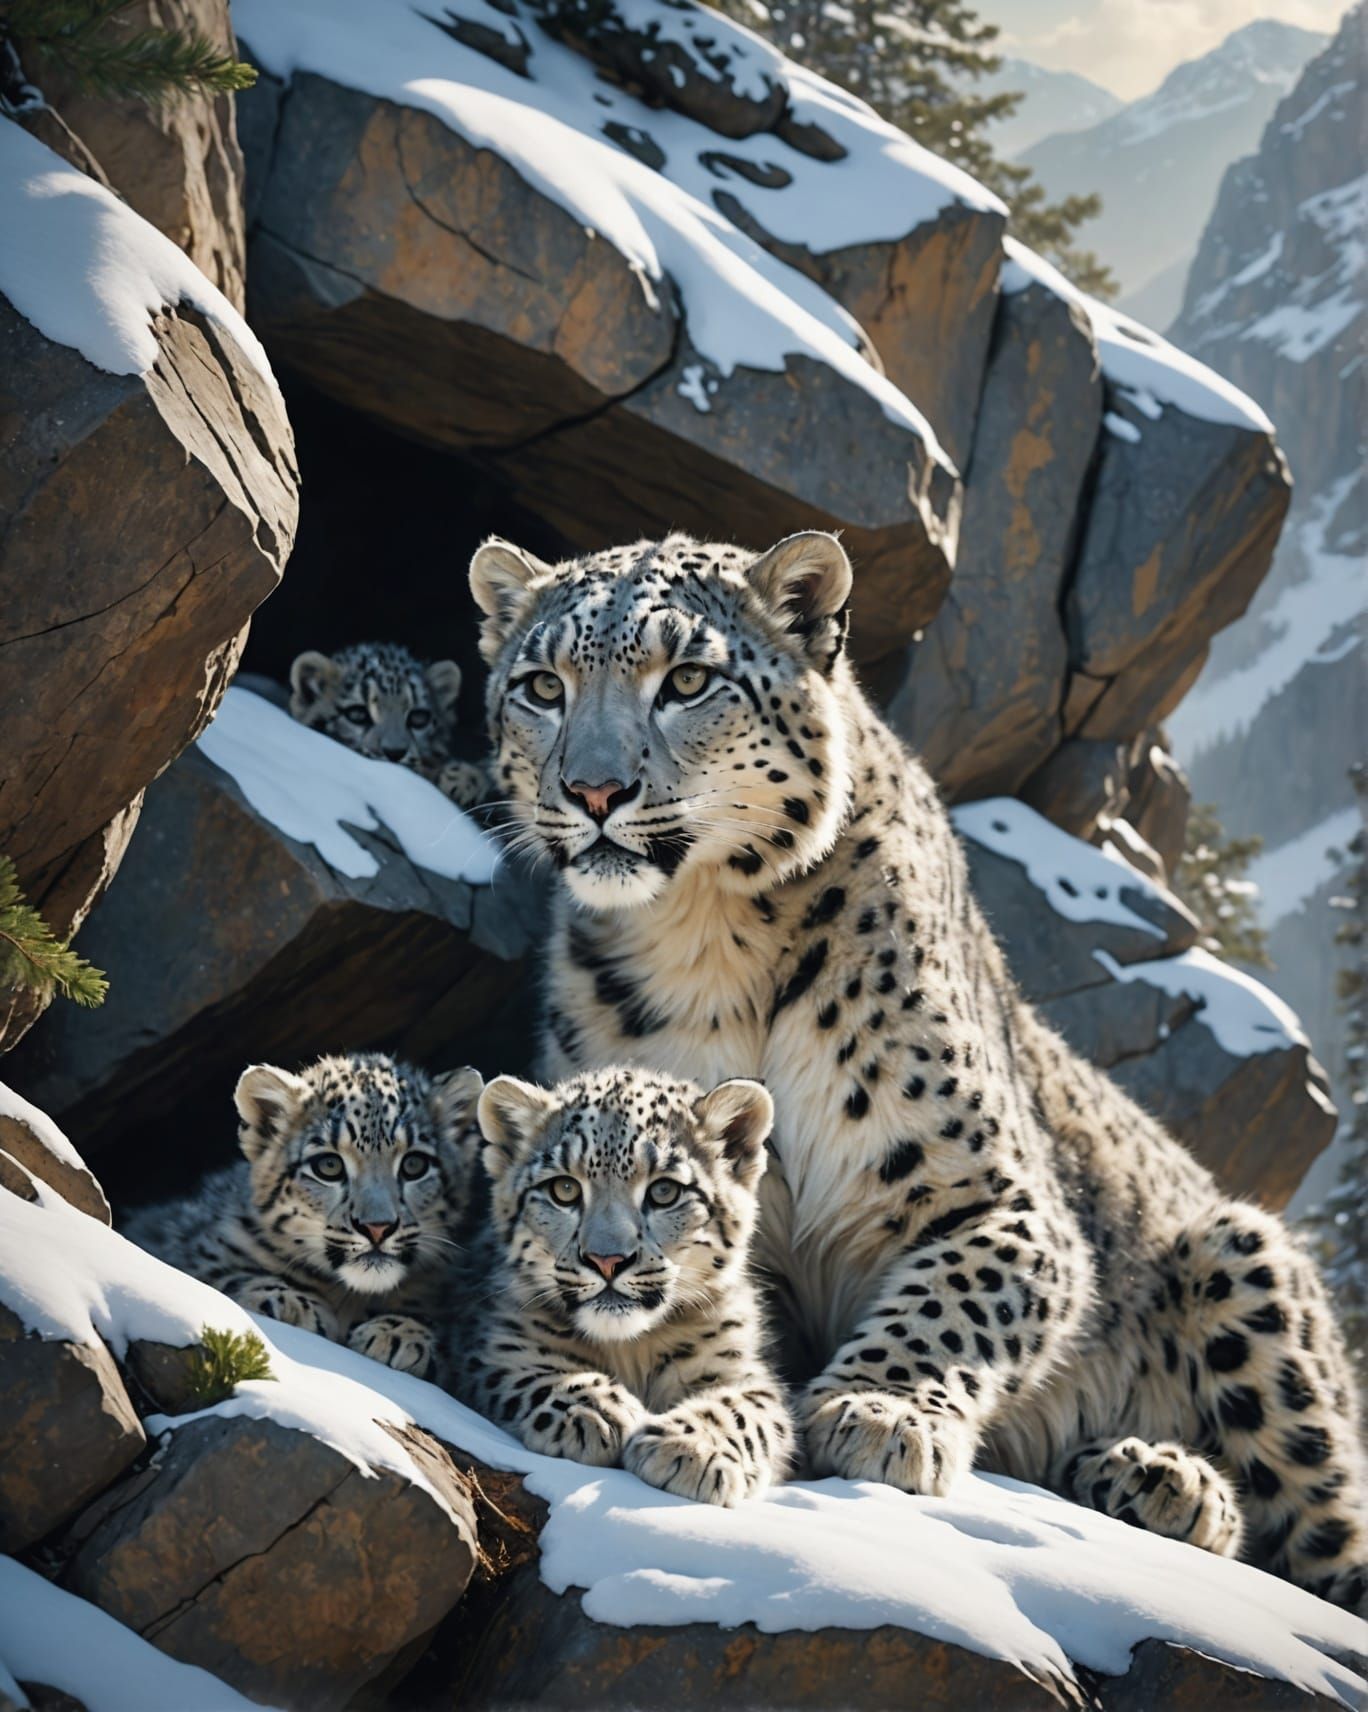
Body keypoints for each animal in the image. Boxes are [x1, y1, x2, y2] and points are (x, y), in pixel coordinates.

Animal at [124, 1052, 483, 1380]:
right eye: (329, 1165)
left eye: (414, 1164)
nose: (377, 1227)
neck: (349, 1297)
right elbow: (222, 1274)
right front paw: (291, 1304)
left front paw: (398, 1335)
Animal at [458, 1066, 795, 1506]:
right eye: (564, 1189)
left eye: (665, 1191)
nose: (607, 1260)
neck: (630, 1350)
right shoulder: (500, 1341)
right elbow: (521, 1369)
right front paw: (595, 1410)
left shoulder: (740, 1367)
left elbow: (748, 1408)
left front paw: (691, 1448)